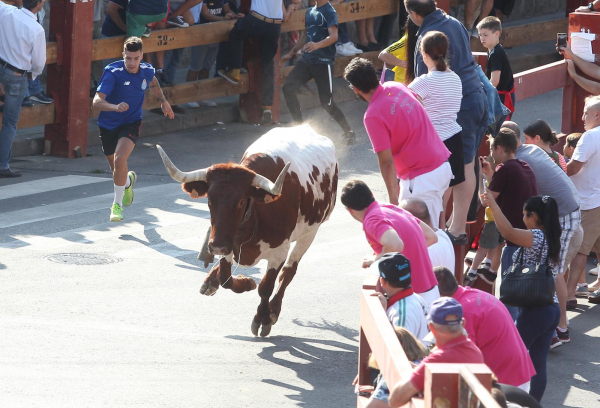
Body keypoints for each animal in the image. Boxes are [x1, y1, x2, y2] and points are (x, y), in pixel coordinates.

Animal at [157, 126, 340, 336]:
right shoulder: (228, 244)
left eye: (241, 201)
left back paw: (273, 311)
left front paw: (262, 319)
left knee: (289, 271)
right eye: (209, 199)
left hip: (311, 232)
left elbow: (266, 287)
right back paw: (211, 281)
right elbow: (226, 278)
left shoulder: (279, 251)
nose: (216, 246)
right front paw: (245, 283)